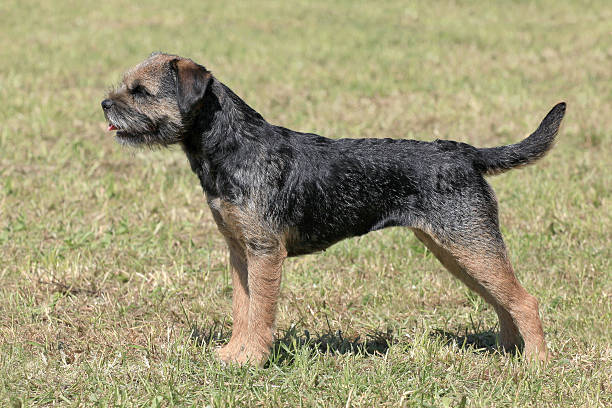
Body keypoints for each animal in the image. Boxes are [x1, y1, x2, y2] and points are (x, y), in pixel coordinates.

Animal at [100, 51, 564, 366]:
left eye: (140, 92)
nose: (104, 104)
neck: (233, 146)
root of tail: (465, 153)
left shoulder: (265, 252)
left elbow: (260, 311)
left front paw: (251, 360)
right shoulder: (239, 251)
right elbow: (241, 308)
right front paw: (232, 354)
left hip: (469, 243)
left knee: (525, 300)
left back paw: (536, 364)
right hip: (456, 250)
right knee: (502, 299)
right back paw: (510, 352)